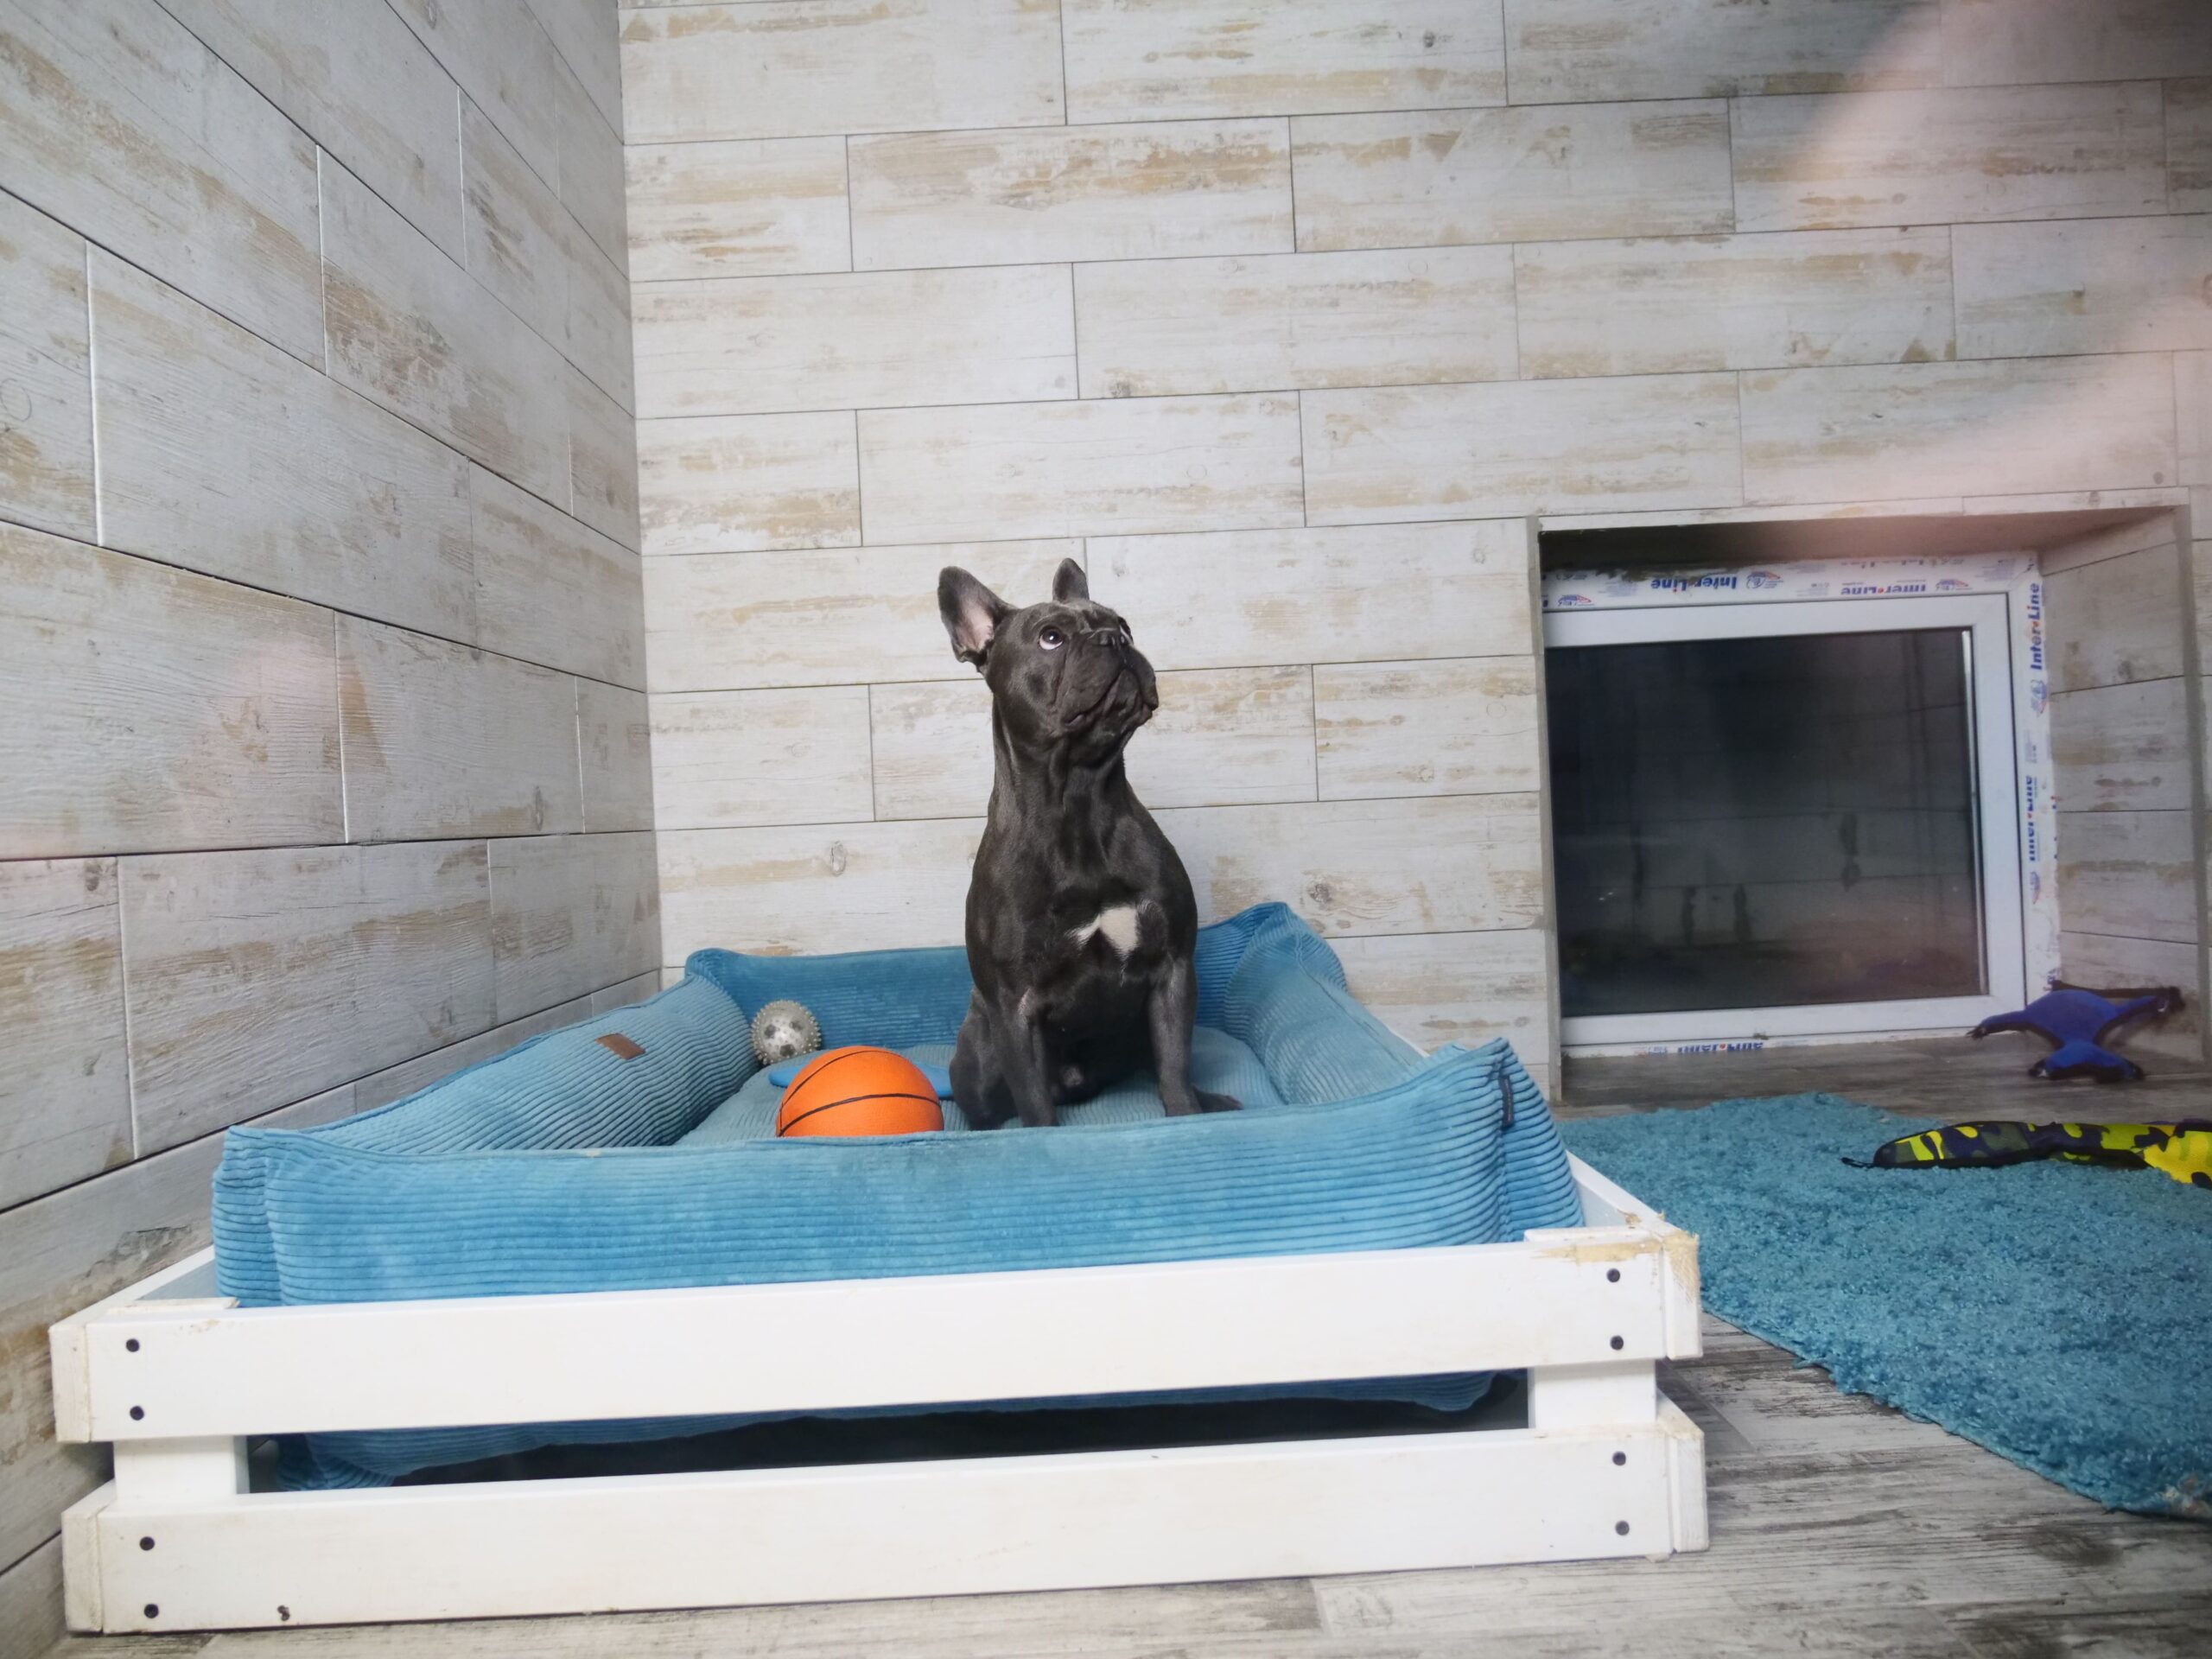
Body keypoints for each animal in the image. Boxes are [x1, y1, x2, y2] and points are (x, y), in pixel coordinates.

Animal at [936, 558, 1240, 1128]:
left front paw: (1189, 1115)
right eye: (1051, 637)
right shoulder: (1014, 1009)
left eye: (1124, 625)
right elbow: (1035, 1106)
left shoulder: (1172, 972)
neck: (1076, 798)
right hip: (979, 1059)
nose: (1113, 640)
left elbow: (1175, 1069)